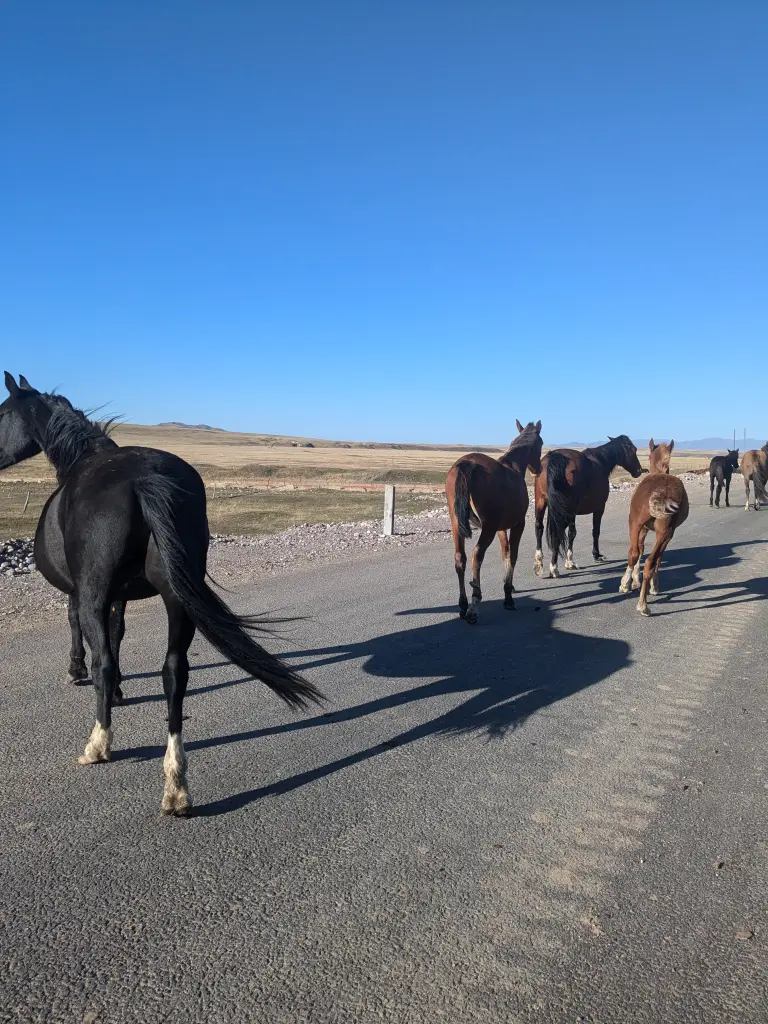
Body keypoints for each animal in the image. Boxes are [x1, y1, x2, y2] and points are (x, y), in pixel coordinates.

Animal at [0, 374, 323, 815]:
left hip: (99, 593)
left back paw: (99, 745)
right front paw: (118, 691)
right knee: (174, 672)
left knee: (110, 662)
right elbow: (117, 634)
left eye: (1, 413)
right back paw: (176, 785)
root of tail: (143, 478)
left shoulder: (83, 592)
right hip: (178, 599)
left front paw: (79, 672)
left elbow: (85, 635)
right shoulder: (120, 596)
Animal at [448, 417, 544, 622]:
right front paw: (508, 595)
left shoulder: (501, 528)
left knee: (460, 558)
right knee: (477, 555)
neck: (513, 466)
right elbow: (513, 555)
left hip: (457, 525)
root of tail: (467, 464)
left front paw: (508, 586)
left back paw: (463, 605)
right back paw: (474, 605)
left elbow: (505, 553)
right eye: (541, 443)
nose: (538, 469)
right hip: (488, 528)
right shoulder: (518, 524)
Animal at [536, 432, 651, 577]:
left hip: (541, 502)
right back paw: (554, 568)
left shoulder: (572, 513)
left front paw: (570, 561)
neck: (601, 462)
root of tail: (554, 458)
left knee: (539, 528)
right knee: (557, 532)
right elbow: (595, 531)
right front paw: (595, 555)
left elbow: (572, 533)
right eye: (634, 450)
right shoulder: (599, 508)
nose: (638, 471)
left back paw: (538, 564)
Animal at [618, 438, 692, 614]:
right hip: (664, 532)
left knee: (635, 554)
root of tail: (662, 493)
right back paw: (644, 603)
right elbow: (657, 558)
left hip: (635, 523)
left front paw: (631, 582)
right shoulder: (667, 533)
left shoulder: (641, 526)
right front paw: (652, 585)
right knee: (651, 561)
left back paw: (634, 595)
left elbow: (638, 551)